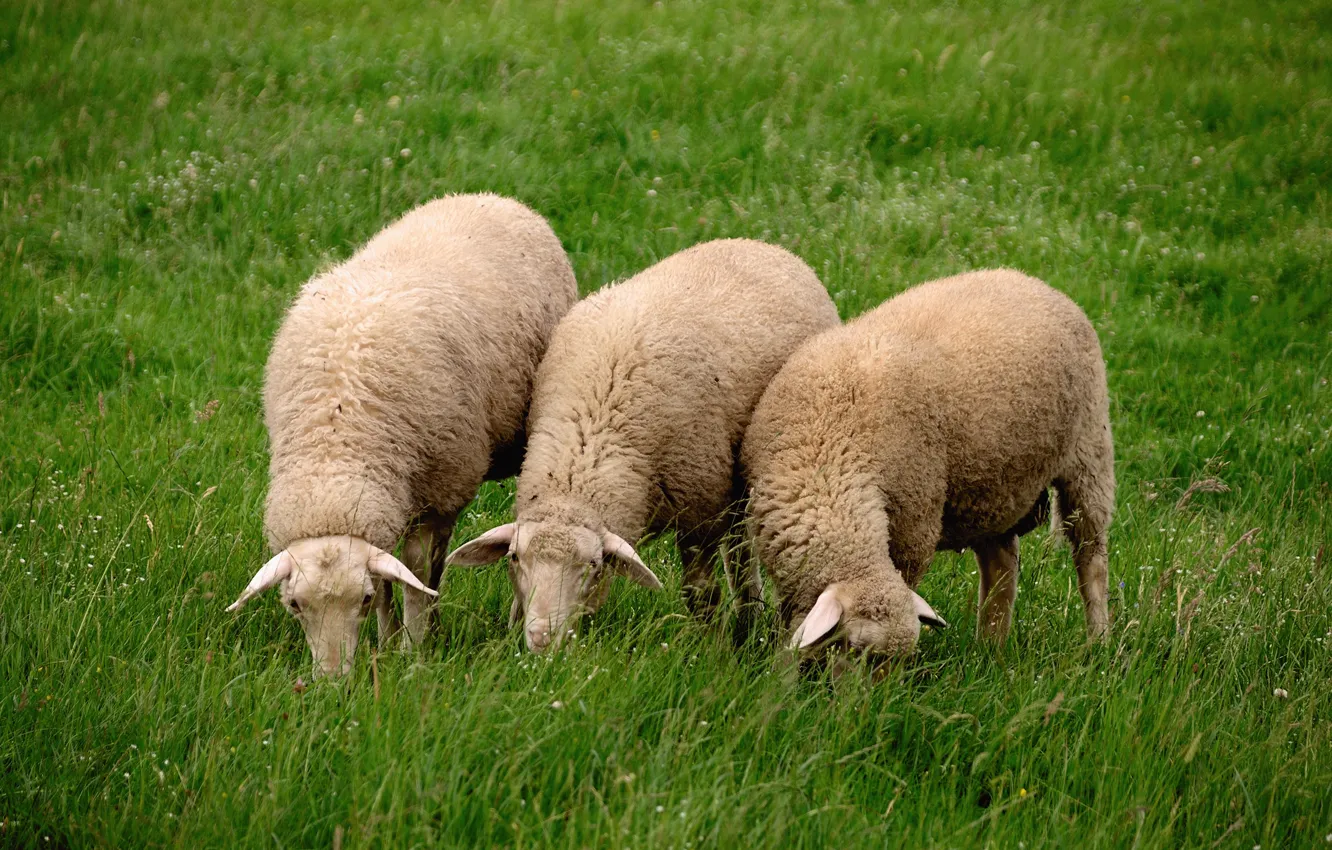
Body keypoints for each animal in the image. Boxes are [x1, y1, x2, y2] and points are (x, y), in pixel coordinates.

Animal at [226, 193, 578, 677]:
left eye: (360, 600)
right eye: (294, 605)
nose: (333, 681)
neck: (335, 449)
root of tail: (492, 198)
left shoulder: (438, 493)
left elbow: (413, 575)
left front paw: (412, 649)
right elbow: (393, 576)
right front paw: (389, 640)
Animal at [446, 239, 841, 652]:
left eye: (592, 566)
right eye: (513, 558)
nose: (542, 640)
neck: (589, 443)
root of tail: (760, 244)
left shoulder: (700, 511)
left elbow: (700, 592)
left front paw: (712, 651)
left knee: (739, 549)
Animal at [741, 268, 1114, 661]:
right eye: (854, 648)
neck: (830, 450)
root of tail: (1031, 280)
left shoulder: (914, 528)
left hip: (1090, 455)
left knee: (1091, 559)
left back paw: (1099, 641)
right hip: (994, 486)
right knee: (1001, 564)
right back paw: (989, 648)